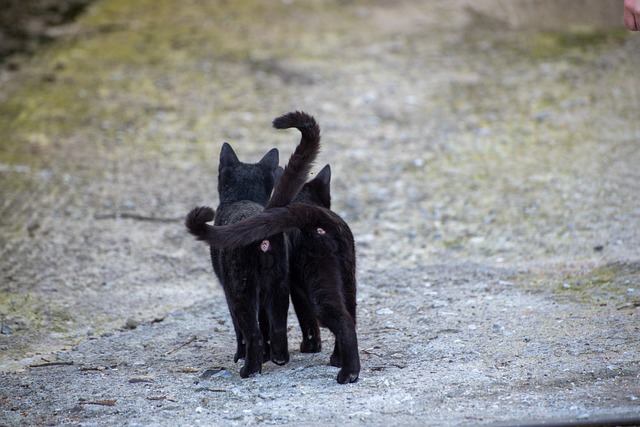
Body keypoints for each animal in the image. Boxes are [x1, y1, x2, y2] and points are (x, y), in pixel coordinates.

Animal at [188, 110, 322, 378]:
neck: (243, 197)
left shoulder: (228, 289)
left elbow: (241, 328)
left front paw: (243, 356)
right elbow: (267, 323)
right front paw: (268, 356)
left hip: (241, 287)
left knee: (251, 331)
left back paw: (249, 368)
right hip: (279, 283)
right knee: (277, 326)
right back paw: (279, 358)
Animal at [188, 165, 362, 384]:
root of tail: (317, 216)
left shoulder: (293, 291)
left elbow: (303, 319)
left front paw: (307, 348)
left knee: (339, 319)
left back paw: (347, 373)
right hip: (347, 281)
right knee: (350, 316)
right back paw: (337, 360)